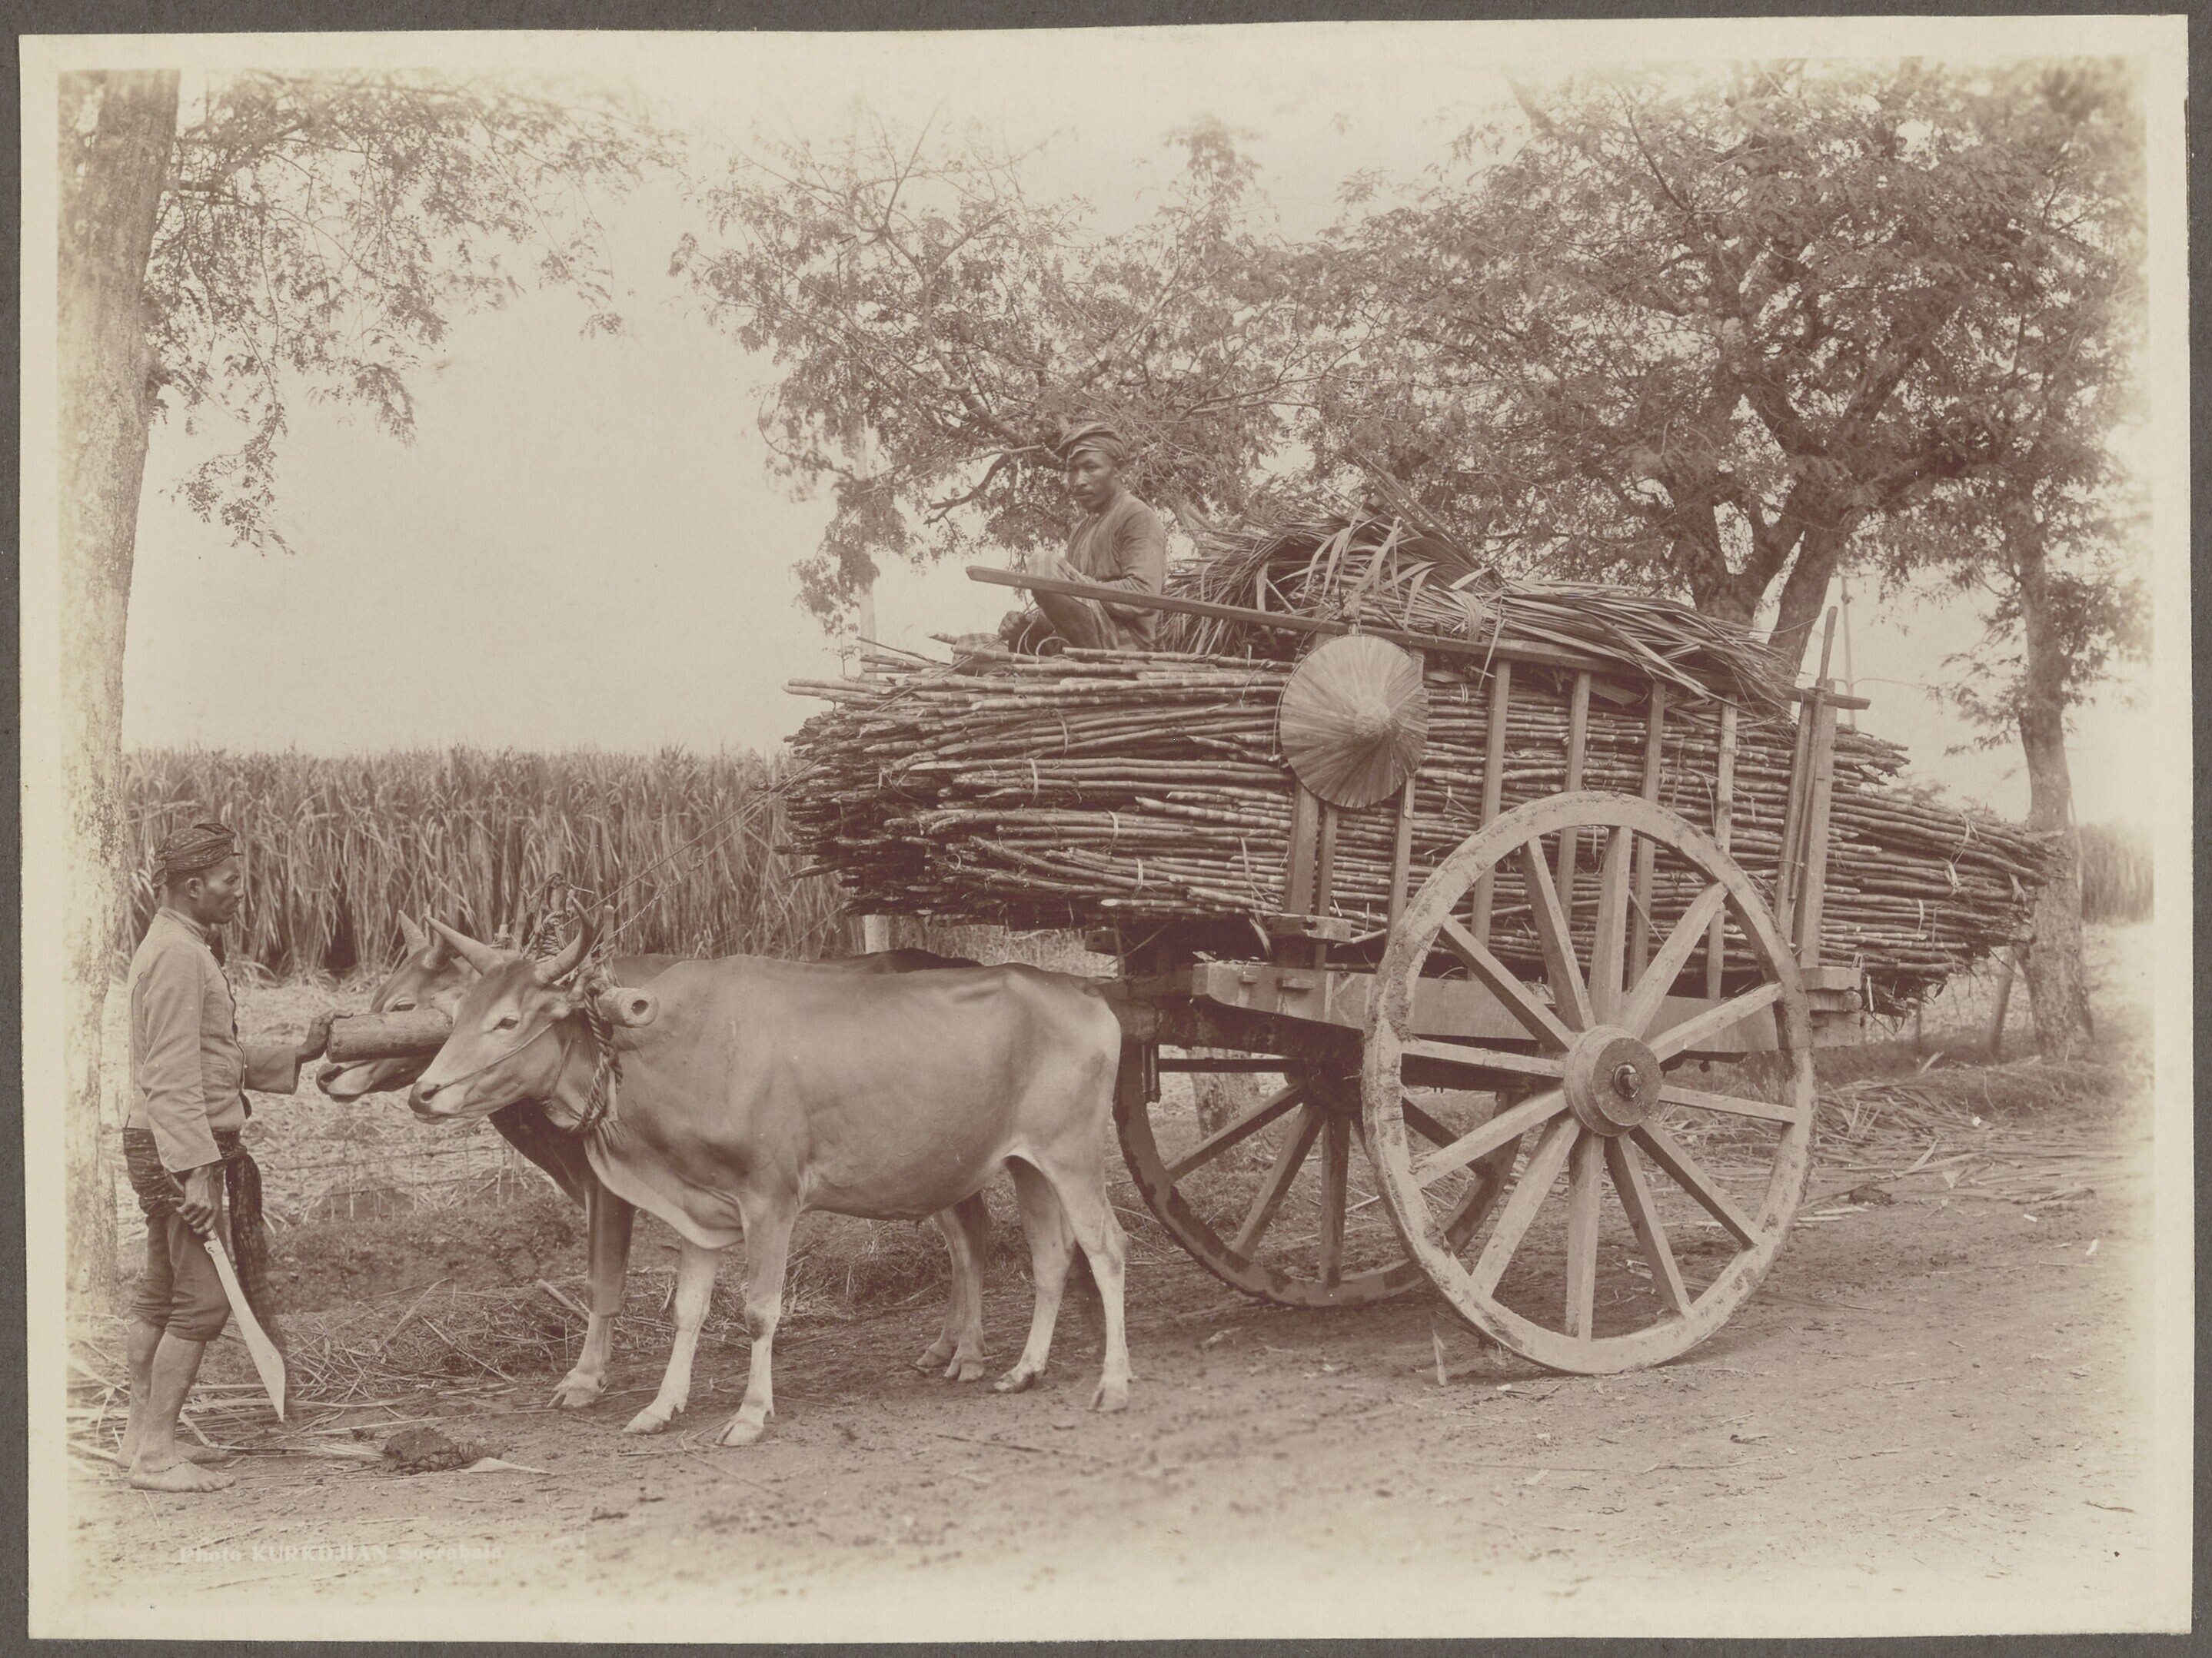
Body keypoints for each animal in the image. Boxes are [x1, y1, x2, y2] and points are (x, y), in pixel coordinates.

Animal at [318, 916, 998, 1421]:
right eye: (377, 1000)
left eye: (402, 1005)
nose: (326, 1072)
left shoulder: (606, 1187)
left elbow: (603, 1279)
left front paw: (584, 1377)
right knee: (961, 1237)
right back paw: (945, 1345)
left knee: (968, 1240)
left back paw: (966, 1352)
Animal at [408, 914, 1131, 1446]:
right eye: (459, 1013)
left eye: (508, 1019)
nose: (423, 1092)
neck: (669, 1054)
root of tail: (1084, 991)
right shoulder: (696, 1207)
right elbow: (688, 1309)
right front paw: (661, 1405)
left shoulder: (771, 1200)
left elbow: (759, 1311)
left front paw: (751, 1412)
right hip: (1026, 1163)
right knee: (1049, 1257)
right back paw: (1023, 1369)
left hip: (1073, 1155)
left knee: (1107, 1250)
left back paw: (1113, 1383)